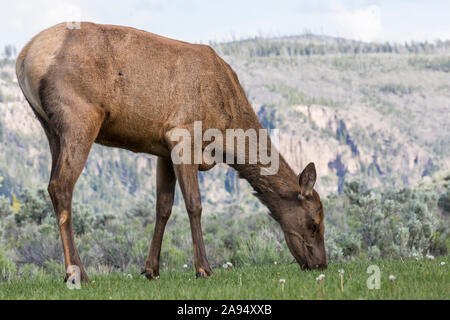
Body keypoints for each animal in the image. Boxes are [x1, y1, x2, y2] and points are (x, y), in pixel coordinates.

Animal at [15, 22, 326, 282]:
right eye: (314, 223)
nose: (320, 264)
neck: (227, 134)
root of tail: (23, 57)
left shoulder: (163, 148)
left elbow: (163, 207)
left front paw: (151, 269)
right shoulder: (182, 135)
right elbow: (194, 204)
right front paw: (204, 268)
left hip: (49, 127)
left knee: (53, 185)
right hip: (79, 117)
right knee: (61, 186)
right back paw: (76, 273)